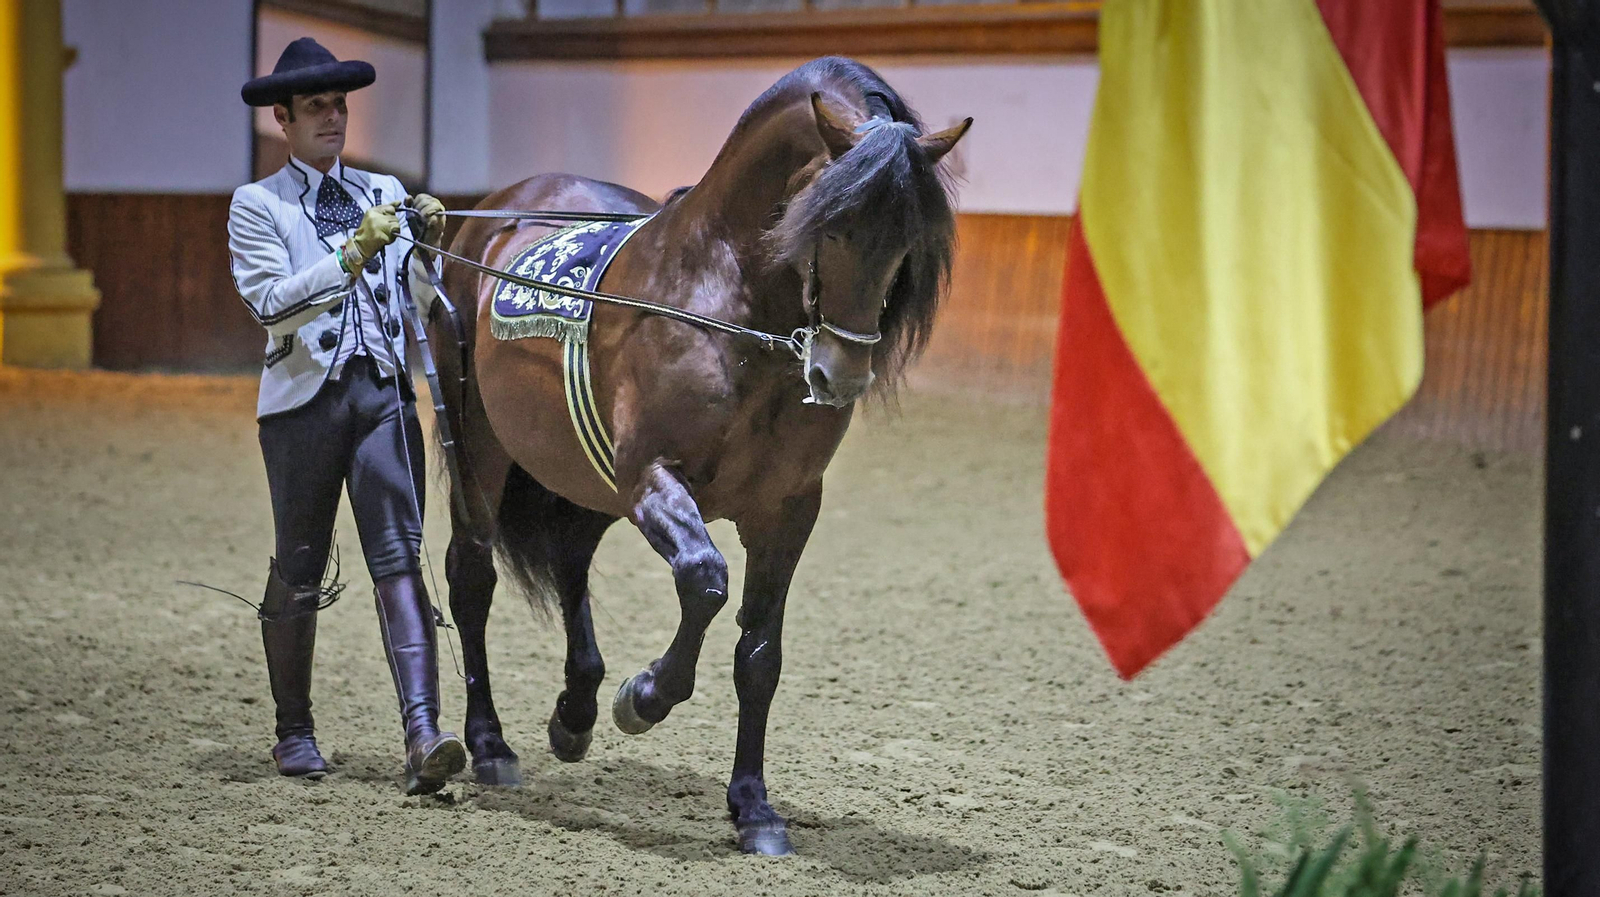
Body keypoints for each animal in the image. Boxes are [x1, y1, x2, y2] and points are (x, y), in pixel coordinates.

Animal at [428, 56, 970, 855]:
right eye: (831, 222)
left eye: (909, 238)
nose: (839, 376)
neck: (725, 307)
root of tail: (497, 208)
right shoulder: (653, 479)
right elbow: (706, 580)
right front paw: (643, 698)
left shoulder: (786, 510)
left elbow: (760, 655)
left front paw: (754, 809)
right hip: (481, 447)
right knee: (472, 576)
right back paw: (492, 744)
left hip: (584, 475)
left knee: (570, 558)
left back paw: (573, 714)